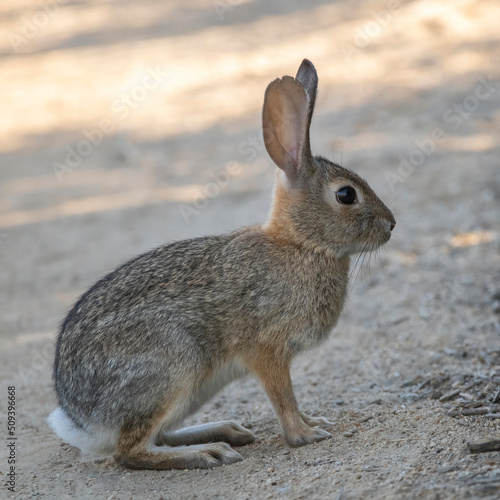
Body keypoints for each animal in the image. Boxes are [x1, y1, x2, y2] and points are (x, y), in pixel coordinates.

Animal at [47, 60, 394, 470]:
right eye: (345, 195)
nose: (391, 225)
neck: (302, 243)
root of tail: (82, 420)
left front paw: (315, 422)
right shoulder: (266, 349)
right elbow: (283, 397)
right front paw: (305, 435)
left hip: (188, 388)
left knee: (155, 435)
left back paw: (226, 431)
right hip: (172, 365)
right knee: (130, 451)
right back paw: (208, 452)